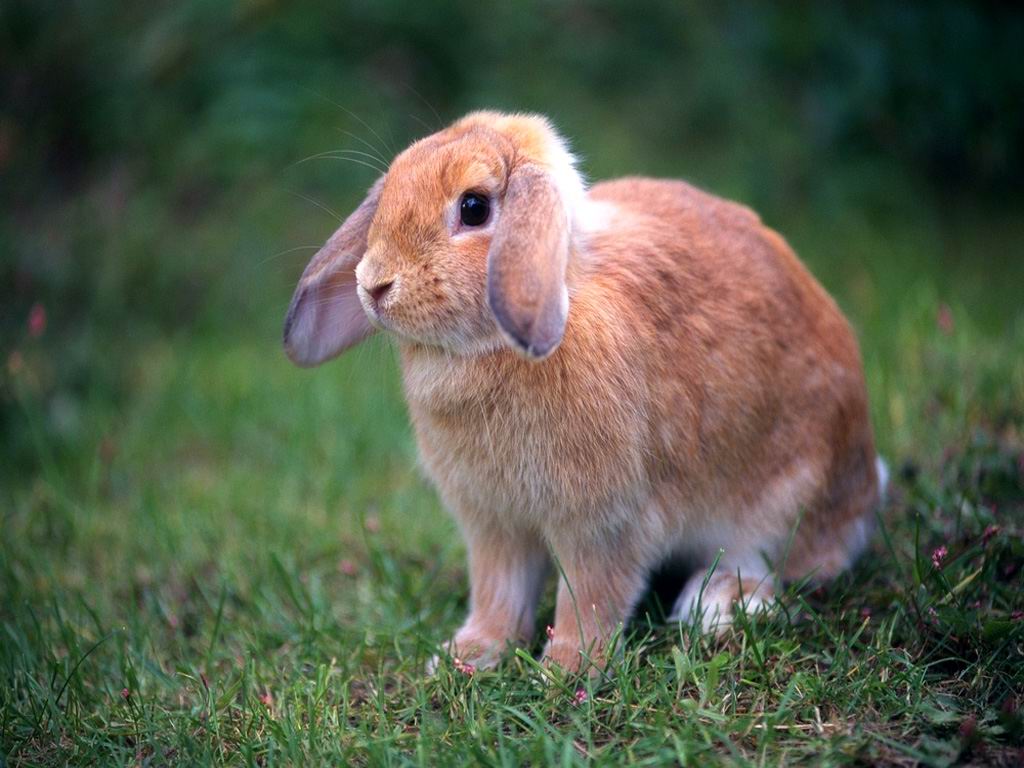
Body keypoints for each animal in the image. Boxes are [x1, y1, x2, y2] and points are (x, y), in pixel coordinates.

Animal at [283, 111, 887, 673]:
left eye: (474, 208)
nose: (372, 284)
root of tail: (864, 485)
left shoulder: (603, 523)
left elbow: (591, 598)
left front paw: (568, 669)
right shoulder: (494, 525)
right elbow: (498, 594)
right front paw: (467, 656)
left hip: (786, 496)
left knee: (782, 564)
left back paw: (713, 605)